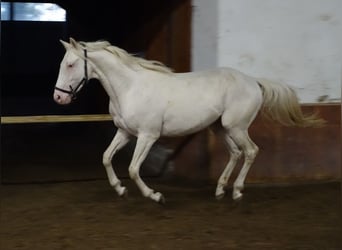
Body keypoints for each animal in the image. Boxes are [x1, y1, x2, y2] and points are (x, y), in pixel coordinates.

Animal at [53, 38, 324, 203]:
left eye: (70, 64)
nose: (58, 97)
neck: (130, 88)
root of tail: (253, 81)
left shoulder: (148, 136)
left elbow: (133, 168)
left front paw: (155, 196)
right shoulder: (125, 133)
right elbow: (106, 158)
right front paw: (120, 189)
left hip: (236, 127)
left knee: (251, 151)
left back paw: (237, 191)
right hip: (219, 128)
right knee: (236, 153)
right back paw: (220, 189)